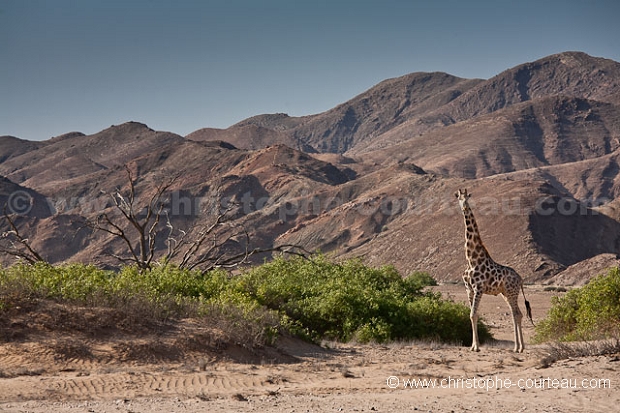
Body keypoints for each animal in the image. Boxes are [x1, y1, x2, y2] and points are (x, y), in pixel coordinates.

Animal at [452, 188, 536, 352]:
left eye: (468, 198)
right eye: (459, 198)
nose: (464, 207)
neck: (471, 259)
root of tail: (521, 279)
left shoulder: (478, 288)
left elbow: (473, 314)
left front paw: (477, 347)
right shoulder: (468, 289)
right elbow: (472, 315)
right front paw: (472, 346)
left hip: (511, 291)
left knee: (517, 314)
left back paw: (518, 347)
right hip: (506, 293)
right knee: (516, 313)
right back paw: (519, 347)